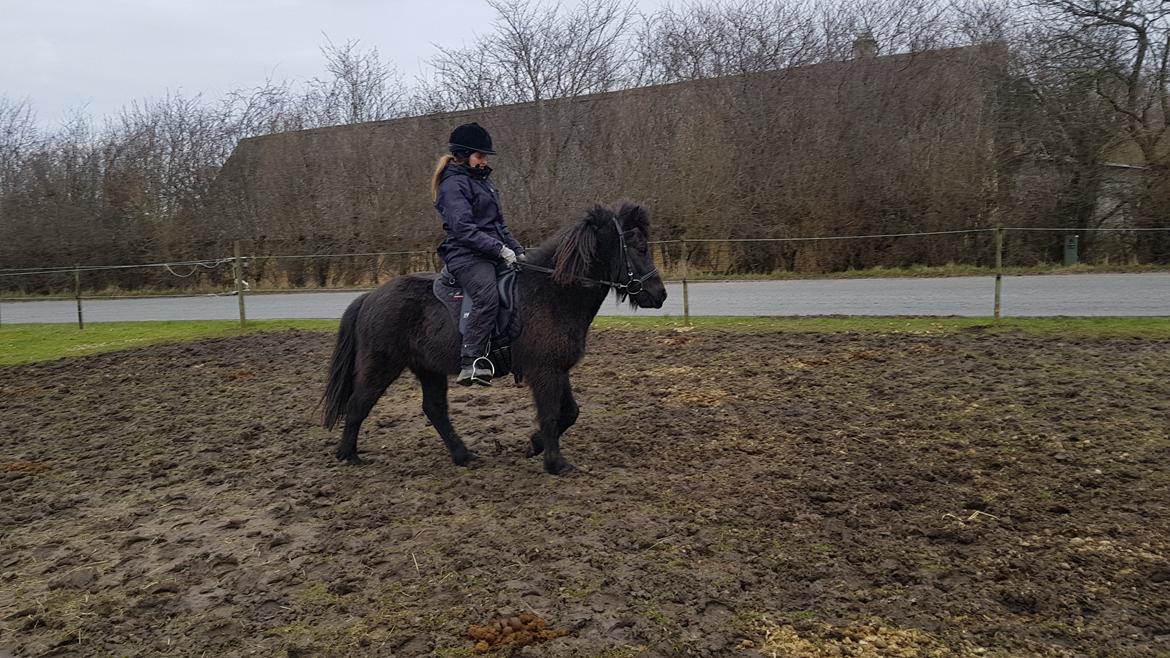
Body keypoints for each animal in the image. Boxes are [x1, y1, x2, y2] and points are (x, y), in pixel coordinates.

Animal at [320, 202, 669, 473]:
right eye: (640, 248)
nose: (660, 295)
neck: (552, 292)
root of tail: (370, 297)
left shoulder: (557, 369)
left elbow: (569, 413)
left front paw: (534, 445)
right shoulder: (544, 371)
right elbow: (550, 414)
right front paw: (555, 463)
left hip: (428, 369)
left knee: (435, 410)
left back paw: (463, 456)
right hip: (381, 365)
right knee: (358, 404)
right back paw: (349, 456)